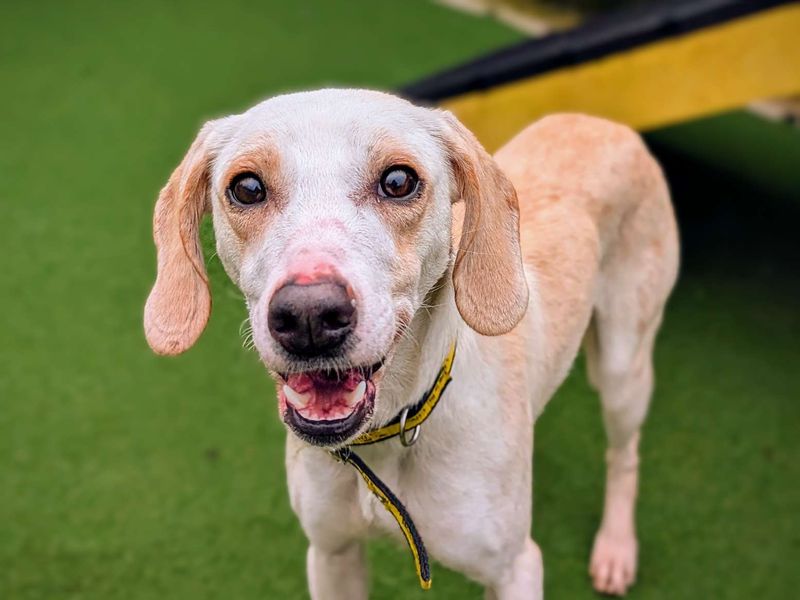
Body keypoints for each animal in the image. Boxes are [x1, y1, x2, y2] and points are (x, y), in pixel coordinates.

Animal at [142, 86, 676, 596]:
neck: (389, 432)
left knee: (624, 455)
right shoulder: (331, 554)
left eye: (398, 182)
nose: (309, 316)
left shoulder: (516, 568)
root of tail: (605, 123)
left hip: (623, 367)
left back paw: (615, 548)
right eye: (247, 187)